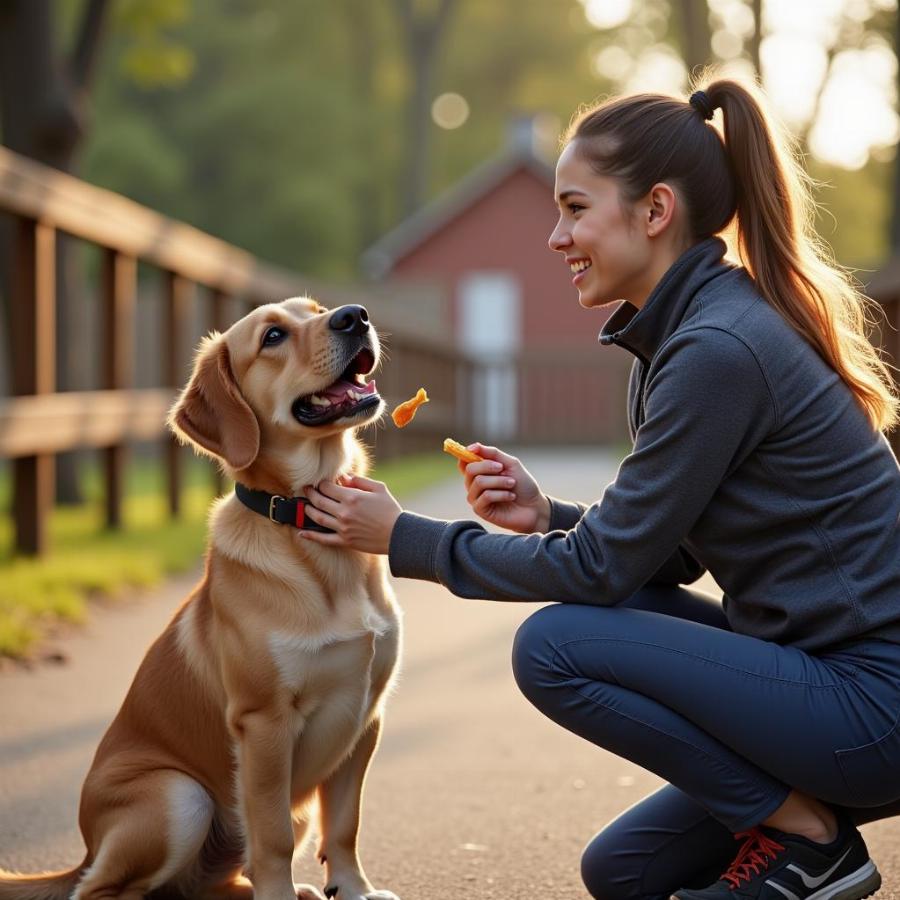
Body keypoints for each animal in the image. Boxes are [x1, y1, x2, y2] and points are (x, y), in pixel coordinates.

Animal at [0, 298, 400, 900]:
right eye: (273, 337)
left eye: (318, 310)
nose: (354, 315)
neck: (307, 528)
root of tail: (86, 850)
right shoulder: (263, 723)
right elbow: (272, 838)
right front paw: (283, 896)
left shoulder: (367, 715)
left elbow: (345, 825)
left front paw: (353, 888)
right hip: (178, 798)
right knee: (105, 890)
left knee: (207, 882)